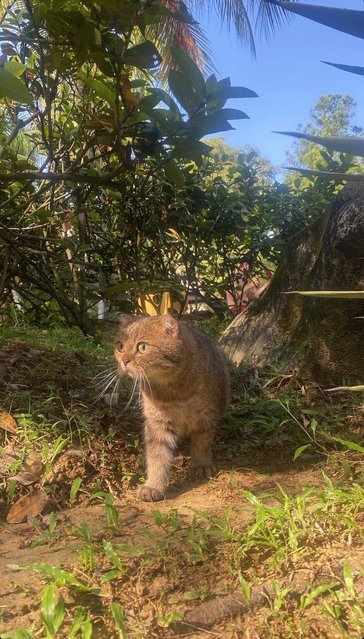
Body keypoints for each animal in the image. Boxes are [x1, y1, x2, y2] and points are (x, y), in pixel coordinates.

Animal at [114, 312, 229, 502]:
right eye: (120, 346)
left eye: (143, 347)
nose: (124, 361)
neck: (173, 390)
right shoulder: (157, 423)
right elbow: (157, 457)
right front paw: (154, 486)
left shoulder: (206, 417)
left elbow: (202, 443)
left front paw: (200, 464)